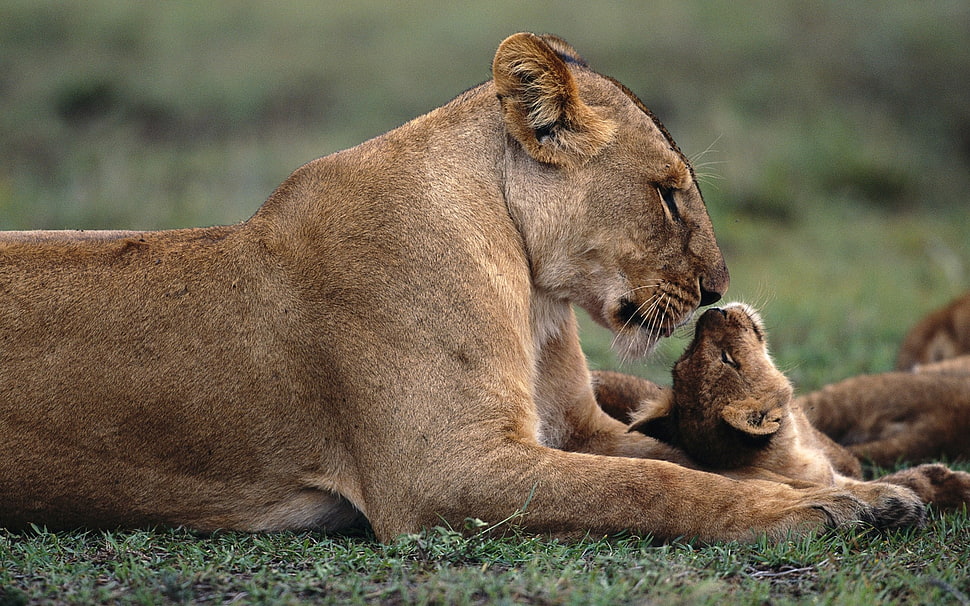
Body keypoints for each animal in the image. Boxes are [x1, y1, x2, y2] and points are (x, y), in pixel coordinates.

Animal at [0, 33, 923, 542]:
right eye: (667, 193)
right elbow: (658, 484)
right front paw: (808, 514)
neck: (533, 293)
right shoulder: (442, 469)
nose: (716, 291)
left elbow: (695, 462)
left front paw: (869, 494)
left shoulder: (575, 428)